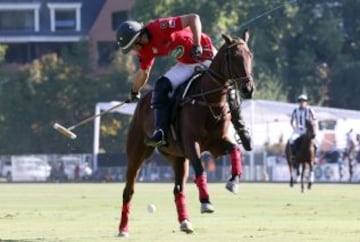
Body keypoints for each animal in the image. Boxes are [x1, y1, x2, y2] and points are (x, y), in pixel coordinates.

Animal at [118, 30, 253, 236]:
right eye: (234, 57)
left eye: (249, 56)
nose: (248, 89)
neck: (209, 99)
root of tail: (143, 102)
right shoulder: (191, 143)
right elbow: (200, 168)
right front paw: (206, 202)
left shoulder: (217, 143)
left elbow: (235, 150)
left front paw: (233, 182)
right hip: (137, 153)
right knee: (129, 191)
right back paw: (123, 228)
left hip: (178, 158)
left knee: (177, 189)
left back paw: (185, 222)